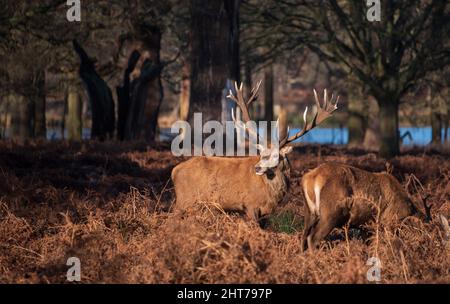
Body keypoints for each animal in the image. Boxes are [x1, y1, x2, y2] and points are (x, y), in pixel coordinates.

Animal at [171, 82, 338, 222]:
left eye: (276, 155)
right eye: (261, 154)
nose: (257, 168)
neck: (271, 195)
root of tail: (174, 171)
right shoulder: (250, 204)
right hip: (185, 200)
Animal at [300, 164, 434, 252]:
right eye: (425, 230)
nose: (429, 245)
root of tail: (310, 177)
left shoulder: (367, 225)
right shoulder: (388, 221)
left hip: (309, 213)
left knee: (304, 237)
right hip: (331, 213)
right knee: (312, 238)